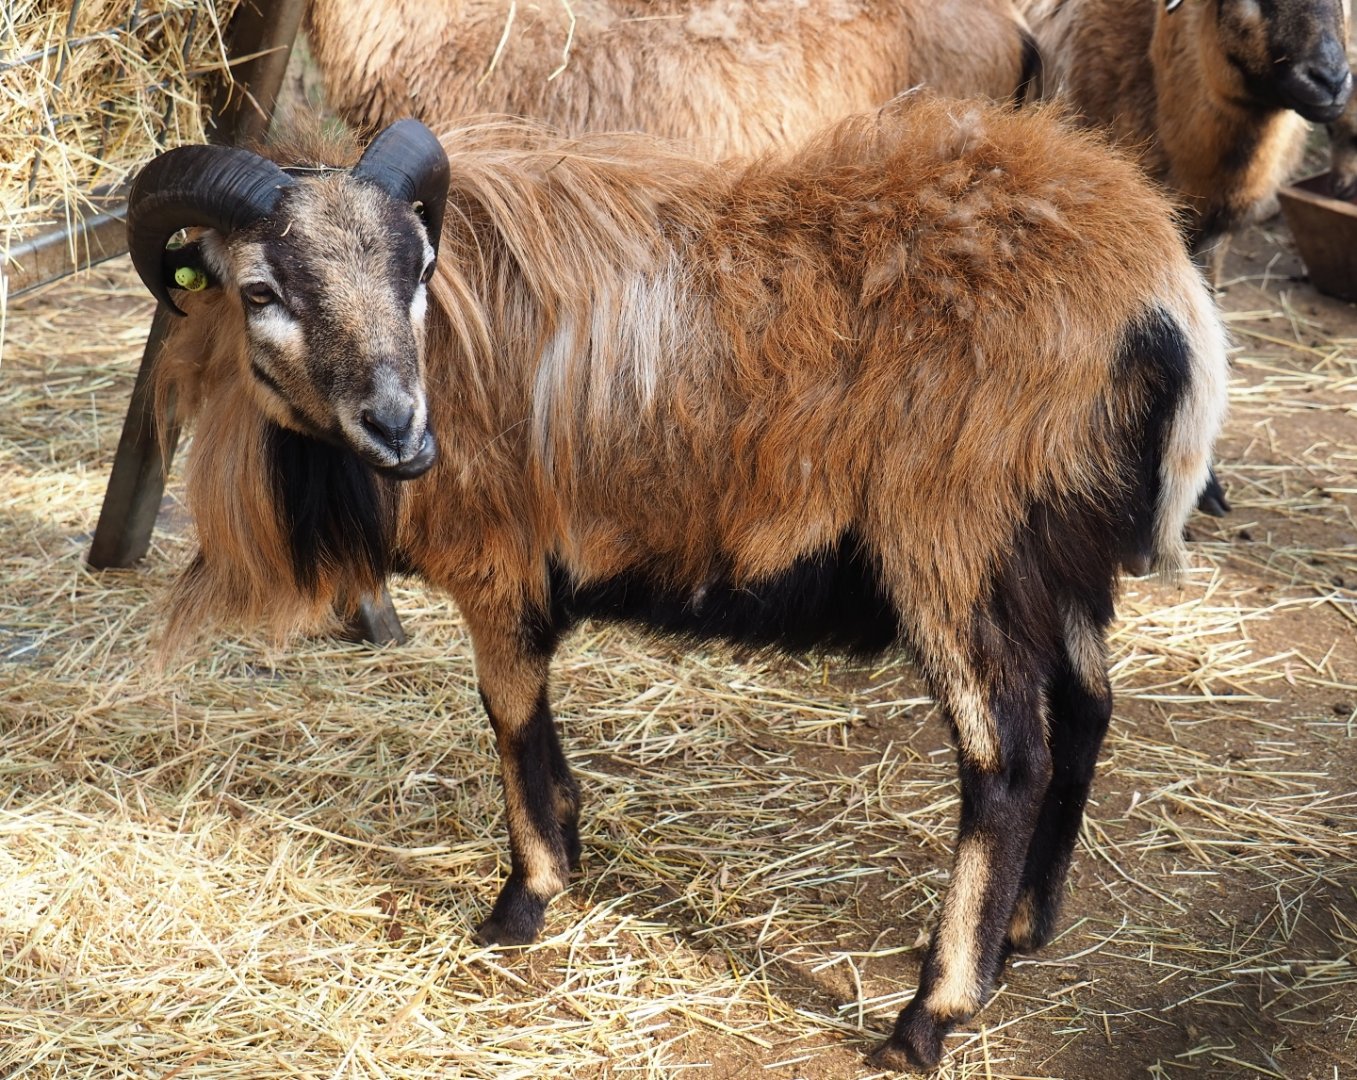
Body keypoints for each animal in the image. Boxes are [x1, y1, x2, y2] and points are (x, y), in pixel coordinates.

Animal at [127, 104, 1228, 1069]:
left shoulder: (497, 567)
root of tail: (1154, 287)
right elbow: (534, 729)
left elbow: (509, 719)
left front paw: (522, 902)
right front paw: (568, 845)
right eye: (260, 288)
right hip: (1061, 552)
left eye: (418, 270)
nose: (401, 429)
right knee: (1087, 708)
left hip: (955, 541)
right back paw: (1028, 932)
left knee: (1006, 761)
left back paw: (927, 1018)